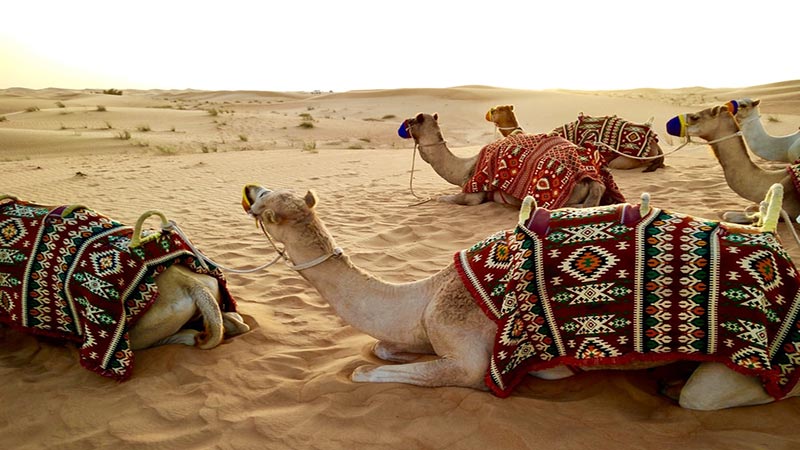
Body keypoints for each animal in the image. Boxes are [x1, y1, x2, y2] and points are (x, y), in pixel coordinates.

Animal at [242, 183, 800, 410]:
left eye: (267, 209)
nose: (249, 189)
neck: (425, 296)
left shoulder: (469, 358)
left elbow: (365, 370)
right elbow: (382, 347)